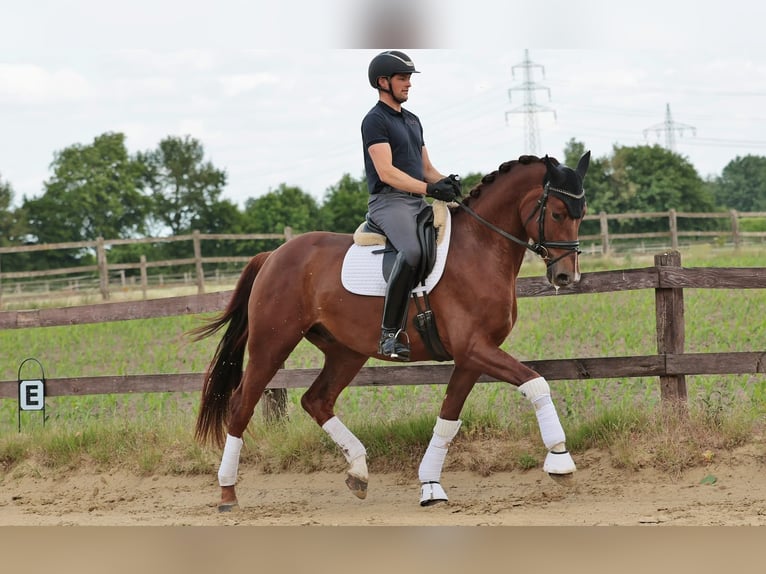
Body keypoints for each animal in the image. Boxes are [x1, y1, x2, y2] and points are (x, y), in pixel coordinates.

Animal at [191, 152, 591, 511]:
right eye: (557, 213)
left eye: (581, 215)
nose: (565, 276)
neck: (480, 247)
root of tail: (273, 255)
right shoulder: (475, 348)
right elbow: (535, 382)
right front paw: (560, 461)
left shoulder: (472, 356)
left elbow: (448, 418)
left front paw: (430, 486)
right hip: (272, 344)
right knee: (242, 405)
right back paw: (227, 493)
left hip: (346, 351)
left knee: (316, 400)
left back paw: (358, 472)